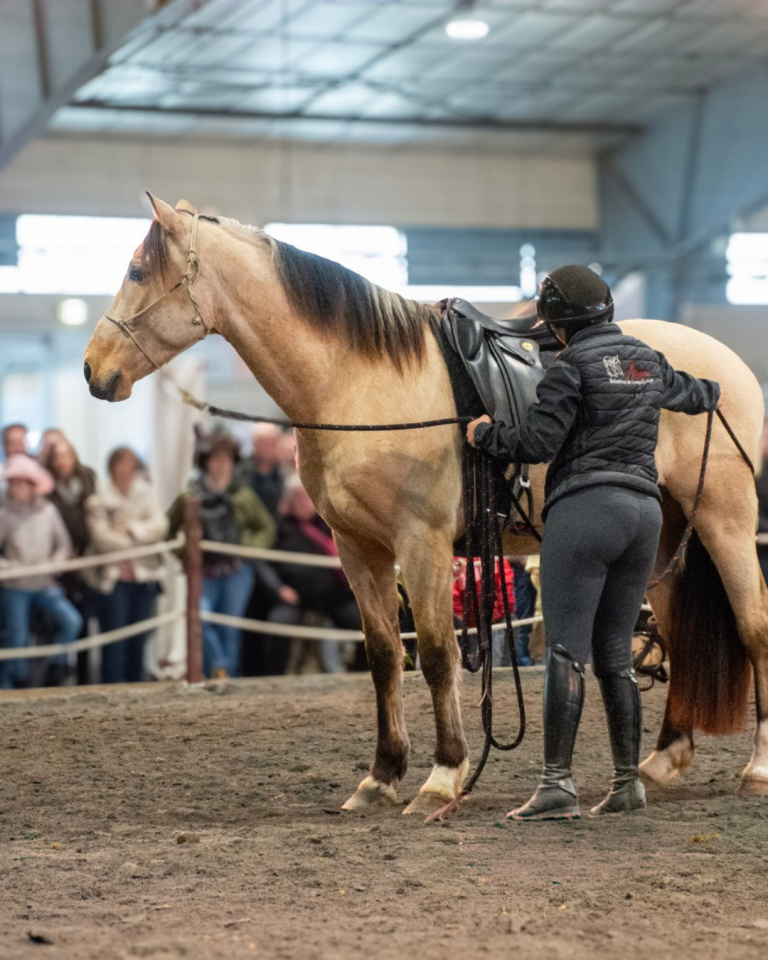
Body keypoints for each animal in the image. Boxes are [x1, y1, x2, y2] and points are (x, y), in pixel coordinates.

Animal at [83, 197, 768, 814]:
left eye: (137, 272)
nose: (93, 369)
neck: (360, 383)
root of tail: (725, 367)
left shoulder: (423, 544)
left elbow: (439, 654)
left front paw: (444, 775)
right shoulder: (358, 549)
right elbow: (386, 655)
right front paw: (382, 776)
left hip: (725, 522)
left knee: (753, 625)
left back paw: (755, 769)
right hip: (666, 539)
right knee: (675, 633)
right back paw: (660, 762)